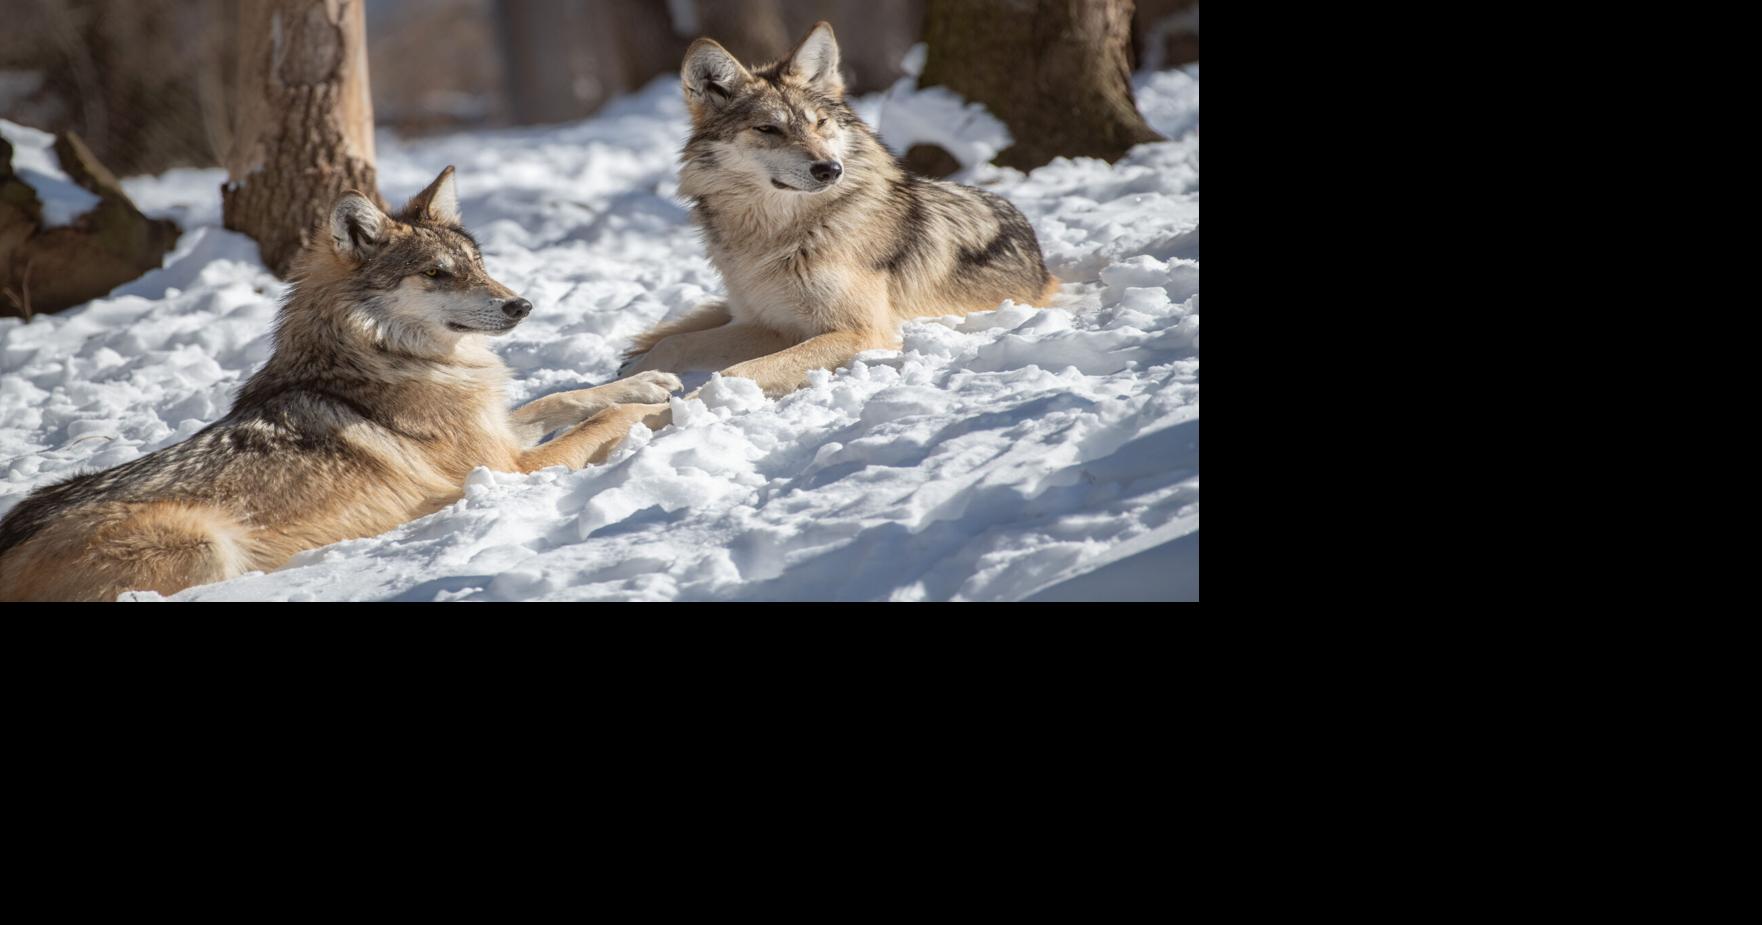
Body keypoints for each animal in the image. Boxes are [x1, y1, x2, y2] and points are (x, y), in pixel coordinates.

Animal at [0, 167, 680, 601]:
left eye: (478, 264)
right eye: (438, 274)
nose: (523, 306)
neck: (383, 356)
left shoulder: (501, 433)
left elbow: (565, 397)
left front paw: (649, 382)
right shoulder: (507, 468)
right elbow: (596, 422)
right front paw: (680, 408)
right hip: (206, 545)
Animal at [612, 20, 1058, 415]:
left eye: (819, 123)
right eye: (768, 129)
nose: (830, 169)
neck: (777, 239)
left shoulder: (862, 332)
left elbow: (737, 373)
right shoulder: (772, 325)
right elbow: (673, 344)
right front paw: (629, 383)